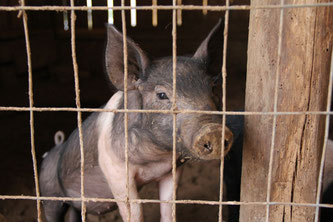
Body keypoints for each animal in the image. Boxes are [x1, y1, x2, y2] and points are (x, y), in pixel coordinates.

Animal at [39, 19, 241, 222]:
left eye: (213, 88)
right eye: (161, 95)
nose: (214, 130)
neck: (155, 160)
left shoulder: (172, 171)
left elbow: (169, 207)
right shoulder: (115, 170)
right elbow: (134, 211)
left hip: (74, 204)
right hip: (50, 196)